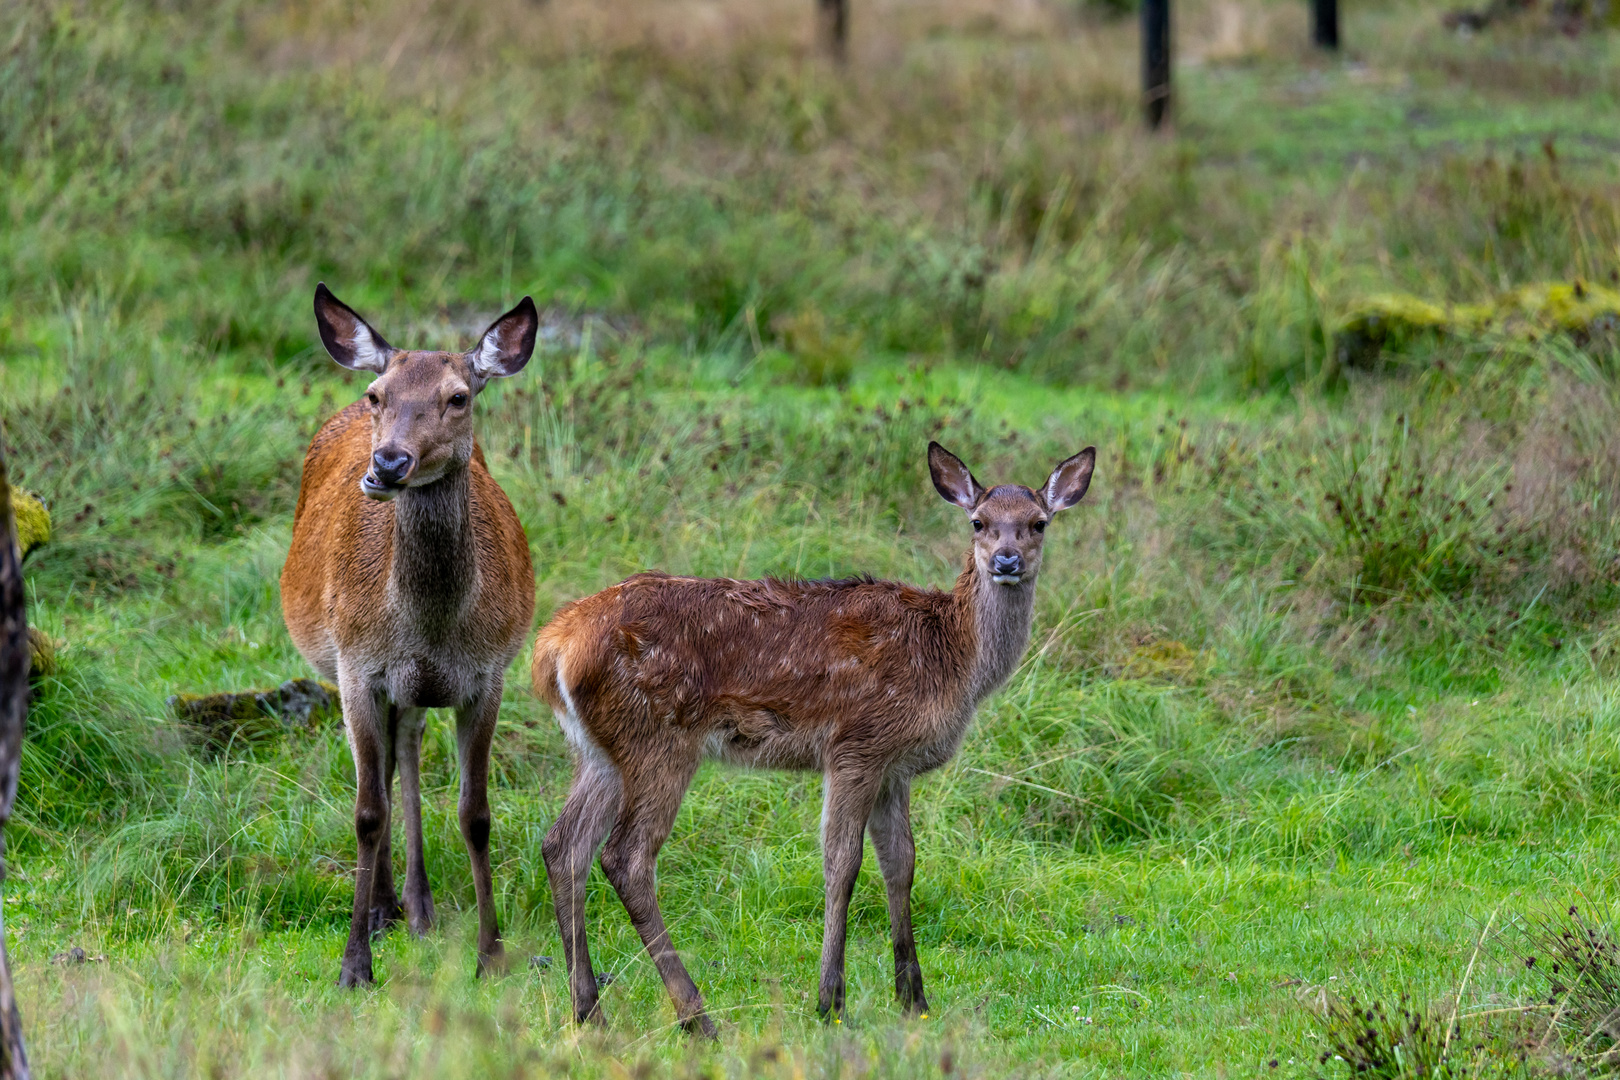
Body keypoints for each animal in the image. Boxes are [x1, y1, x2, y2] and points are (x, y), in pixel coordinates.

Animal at [277, 284, 531, 990]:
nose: (388, 463)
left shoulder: (487, 676)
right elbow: (367, 811)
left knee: (406, 750)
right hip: (349, 670)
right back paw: (384, 910)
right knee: (385, 771)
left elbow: (476, 814)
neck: (430, 625)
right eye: (378, 395)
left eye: (459, 396)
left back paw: (415, 907)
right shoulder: (358, 668)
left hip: (413, 690)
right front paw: (353, 964)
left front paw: (490, 953)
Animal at [537, 443, 1095, 1036]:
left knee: (564, 844)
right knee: (626, 855)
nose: (1006, 561)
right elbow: (842, 862)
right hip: (658, 739)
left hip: (600, 752)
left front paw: (913, 999)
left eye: (1038, 523)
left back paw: (589, 1010)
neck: (952, 659)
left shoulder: (895, 767)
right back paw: (697, 1016)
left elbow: (902, 863)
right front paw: (830, 1000)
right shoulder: (857, 744)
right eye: (979, 522)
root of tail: (552, 647)